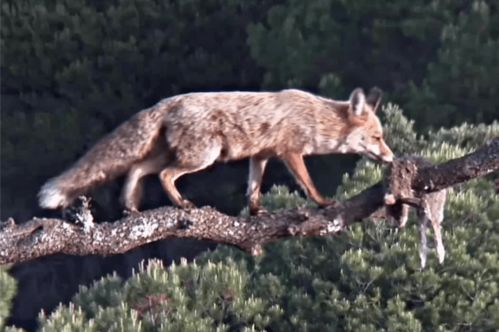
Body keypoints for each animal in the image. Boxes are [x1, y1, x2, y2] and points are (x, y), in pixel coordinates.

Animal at [38, 87, 394, 215]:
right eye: (377, 137)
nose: (391, 157)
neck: (314, 117)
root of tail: (167, 102)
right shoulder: (289, 152)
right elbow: (307, 184)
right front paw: (323, 203)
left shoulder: (260, 156)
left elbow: (253, 189)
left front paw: (256, 213)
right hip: (202, 157)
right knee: (165, 176)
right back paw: (182, 204)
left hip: (176, 154)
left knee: (136, 170)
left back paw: (131, 207)